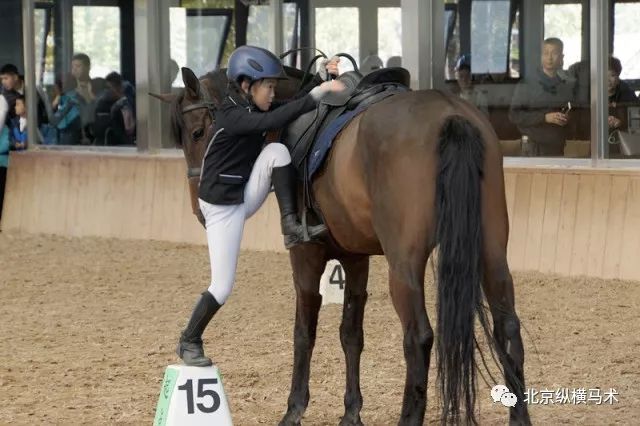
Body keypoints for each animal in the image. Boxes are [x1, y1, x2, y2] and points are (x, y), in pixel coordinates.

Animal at [152, 67, 532, 426]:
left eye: (197, 133)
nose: (199, 208)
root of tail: (449, 114)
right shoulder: (355, 258)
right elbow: (351, 334)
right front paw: (351, 412)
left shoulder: (305, 256)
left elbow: (304, 332)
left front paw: (295, 409)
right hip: (491, 254)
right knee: (507, 328)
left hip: (404, 266)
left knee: (418, 337)